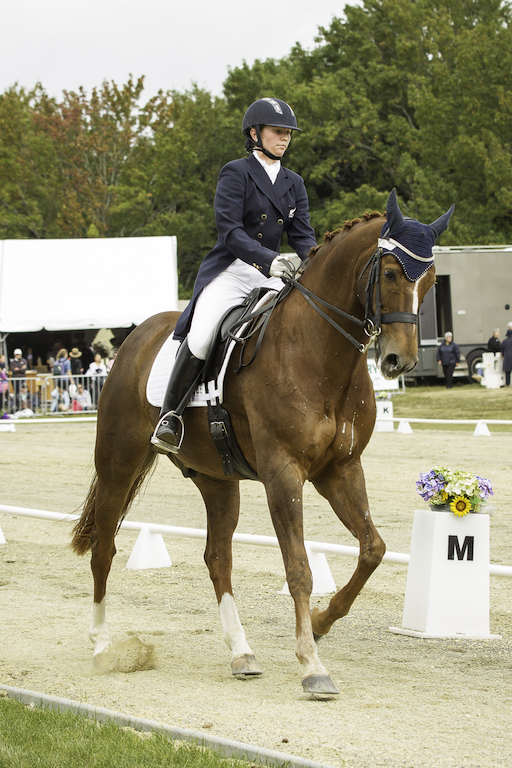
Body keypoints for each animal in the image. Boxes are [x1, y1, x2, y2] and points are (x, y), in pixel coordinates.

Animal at [72, 190, 452, 696]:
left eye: (428, 281)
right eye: (390, 273)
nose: (398, 361)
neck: (319, 353)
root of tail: (136, 336)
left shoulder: (340, 470)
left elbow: (373, 549)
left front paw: (321, 624)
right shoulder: (282, 472)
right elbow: (299, 569)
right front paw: (312, 664)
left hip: (215, 478)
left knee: (218, 557)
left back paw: (242, 653)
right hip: (119, 461)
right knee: (104, 545)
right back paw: (100, 646)